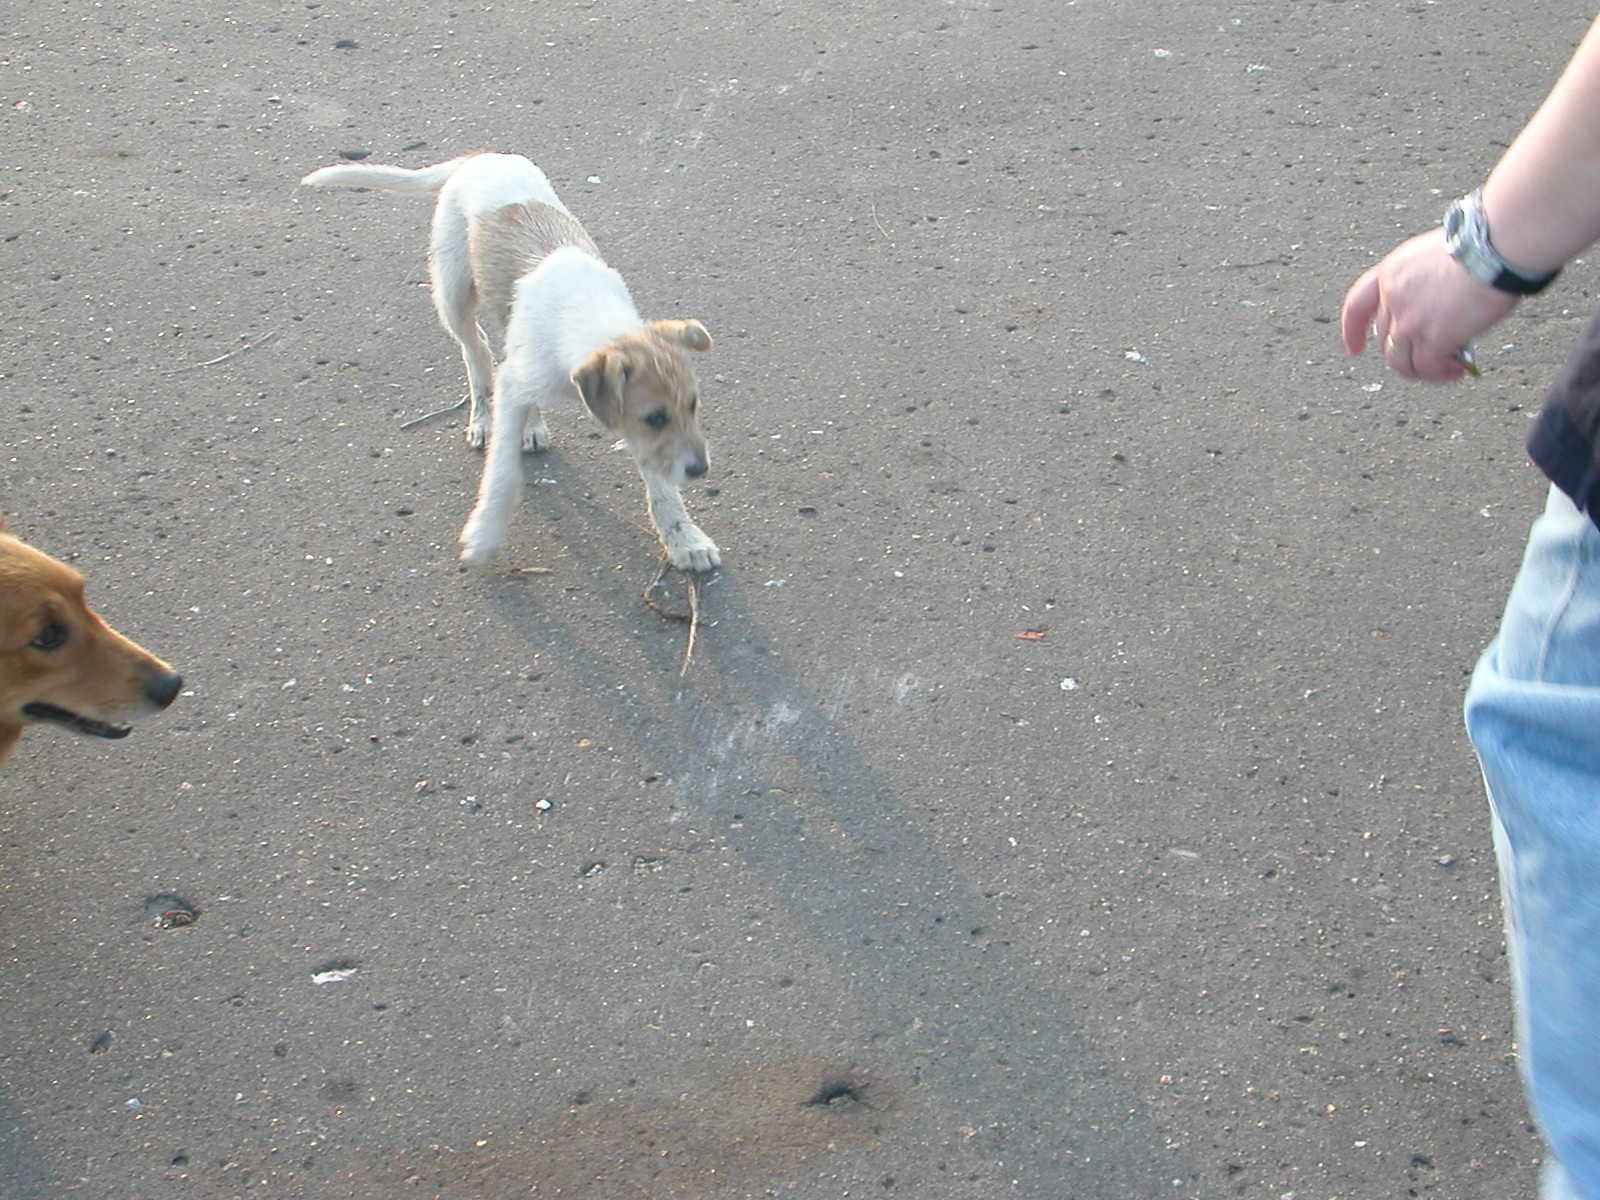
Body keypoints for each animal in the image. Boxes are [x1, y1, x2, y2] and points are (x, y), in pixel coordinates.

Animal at [299, 151, 720, 572]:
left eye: (693, 406)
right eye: (655, 417)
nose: (701, 470)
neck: (592, 317)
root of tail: (479, 155)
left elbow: (662, 487)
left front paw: (685, 539)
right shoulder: (525, 387)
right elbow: (501, 471)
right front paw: (484, 535)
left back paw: (531, 426)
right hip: (452, 295)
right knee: (478, 353)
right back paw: (482, 420)